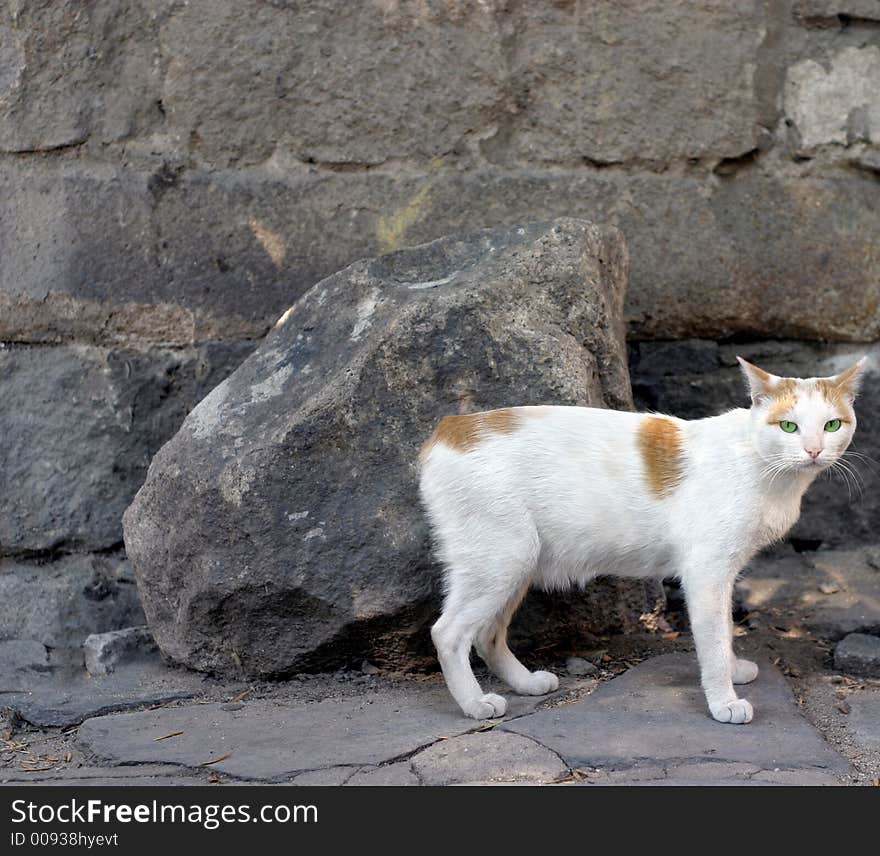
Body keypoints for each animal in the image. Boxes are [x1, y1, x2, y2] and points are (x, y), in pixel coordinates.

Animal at [422, 358, 868, 724]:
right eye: (788, 426)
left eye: (831, 425)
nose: (813, 451)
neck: (763, 464)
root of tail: (451, 426)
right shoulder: (705, 573)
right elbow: (713, 640)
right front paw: (723, 700)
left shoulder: (723, 575)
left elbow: (725, 629)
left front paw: (733, 668)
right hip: (501, 561)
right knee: (448, 633)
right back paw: (474, 703)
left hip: (515, 565)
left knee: (487, 634)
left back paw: (525, 682)